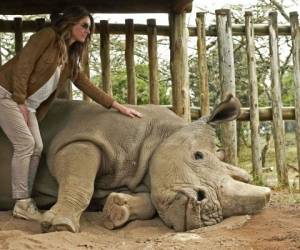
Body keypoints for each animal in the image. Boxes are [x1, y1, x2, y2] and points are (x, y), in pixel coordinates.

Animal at [0, 94, 272, 232]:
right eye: (198, 156)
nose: (207, 216)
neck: (159, 135)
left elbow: (150, 201)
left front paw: (116, 210)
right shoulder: (82, 139)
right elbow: (80, 183)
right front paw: (60, 226)